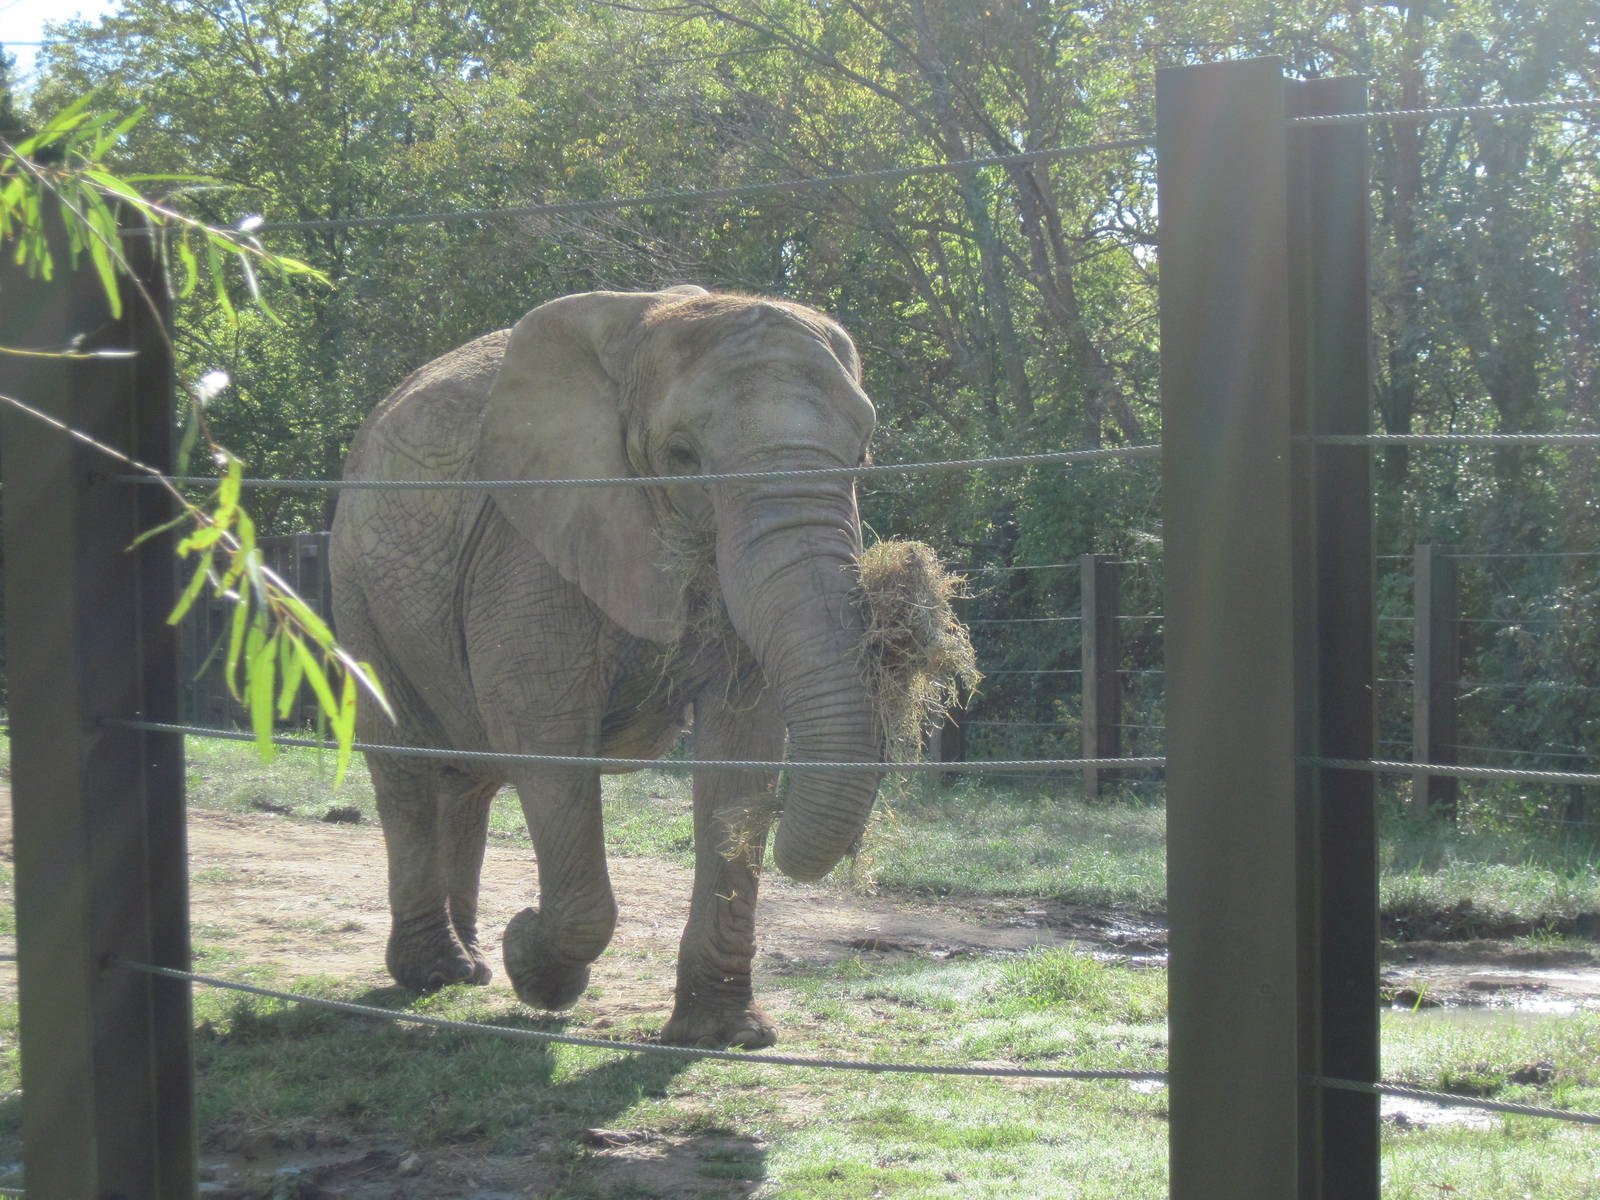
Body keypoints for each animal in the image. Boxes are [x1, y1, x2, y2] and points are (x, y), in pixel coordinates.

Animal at [329, 285, 885, 1048]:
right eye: (682, 455)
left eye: (862, 453)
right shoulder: (532, 536)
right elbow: (543, 727)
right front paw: (533, 966)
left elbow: (744, 744)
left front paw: (725, 1036)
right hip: (357, 588)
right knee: (405, 766)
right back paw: (436, 973)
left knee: (468, 780)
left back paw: (470, 966)